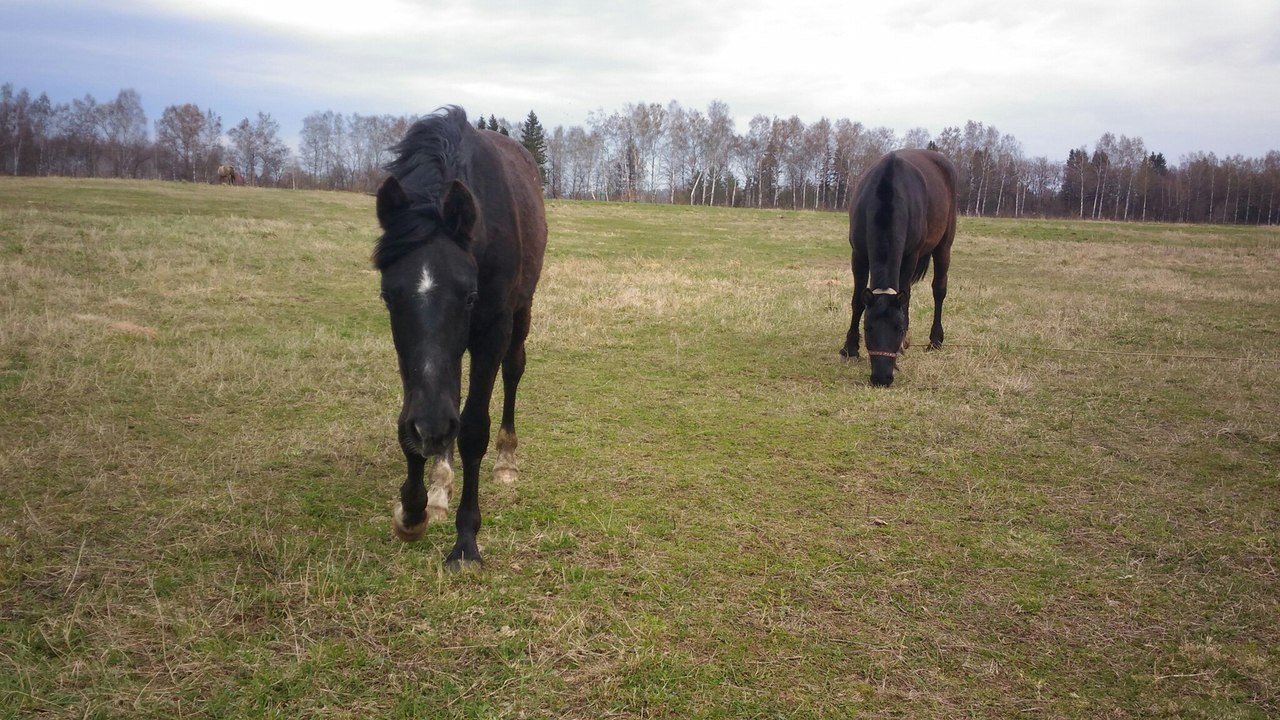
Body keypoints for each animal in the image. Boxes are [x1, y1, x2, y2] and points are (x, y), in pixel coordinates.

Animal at [373, 105, 547, 566]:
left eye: (471, 295)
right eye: (387, 296)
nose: (432, 429)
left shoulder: (491, 333)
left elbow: (472, 431)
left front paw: (466, 541)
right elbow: (414, 422)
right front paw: (414, 510)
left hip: (520, 318)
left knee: (513, 372)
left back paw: (506, 457)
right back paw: (439, 484)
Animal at [844, 149, 957, 386]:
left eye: (898, 328)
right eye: (867, 327)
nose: (882, 378)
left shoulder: (910, 255)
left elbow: (906, 299)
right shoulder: (858, 254)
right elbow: (857, 301)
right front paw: (849, 349)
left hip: (944, 245)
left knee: (939, 290)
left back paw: (935, 340)